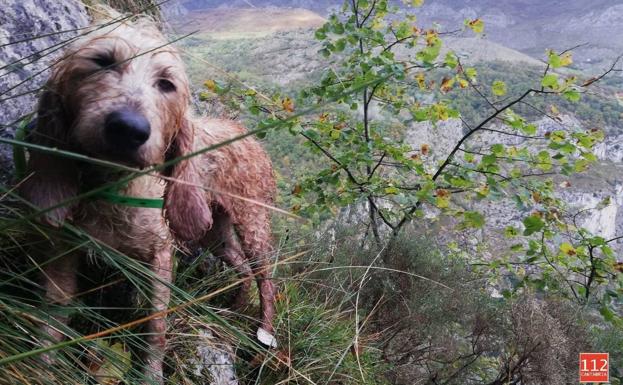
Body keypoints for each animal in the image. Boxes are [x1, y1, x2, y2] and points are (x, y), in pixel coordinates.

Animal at [19, 10, 278, 382]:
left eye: (166, 83)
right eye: (102, 61)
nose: (128, 128)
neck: (112, 188)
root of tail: (247, 134)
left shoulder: (160, 256)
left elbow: (155, 328)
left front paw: (151, 374)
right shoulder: (63, 252)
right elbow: (52, 319)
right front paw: (39, 369)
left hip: (252, 224)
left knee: (267, 282)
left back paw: (264, 334)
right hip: (212, 229)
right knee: (241, 268)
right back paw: (233, 308)